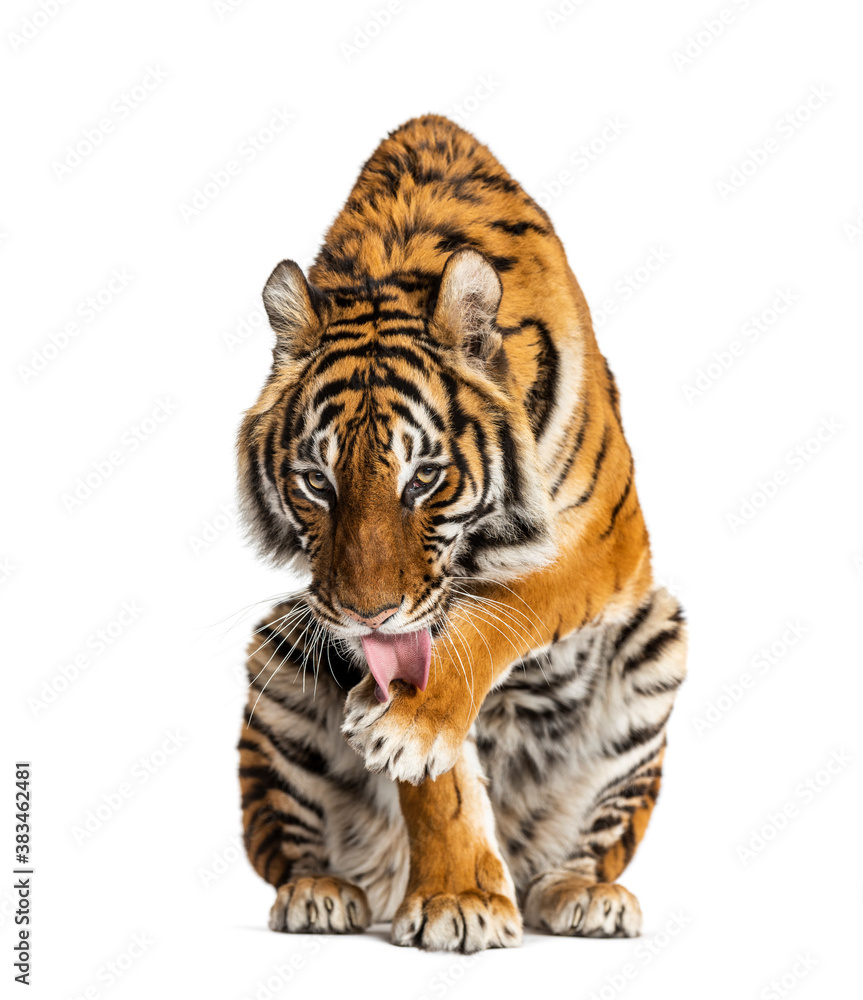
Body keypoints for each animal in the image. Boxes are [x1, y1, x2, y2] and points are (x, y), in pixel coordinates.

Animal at [235, 114, 687, 953]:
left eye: (424, 479)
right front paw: (457, 899)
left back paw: (586, 898)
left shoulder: (601, 545)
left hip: (656, 644)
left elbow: (499, 614)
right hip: (278, 655)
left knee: (578, 853)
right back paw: (321, 893)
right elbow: (435, 788)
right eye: (316, 482)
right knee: (289, 846)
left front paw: (409, 728)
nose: (366, 614)